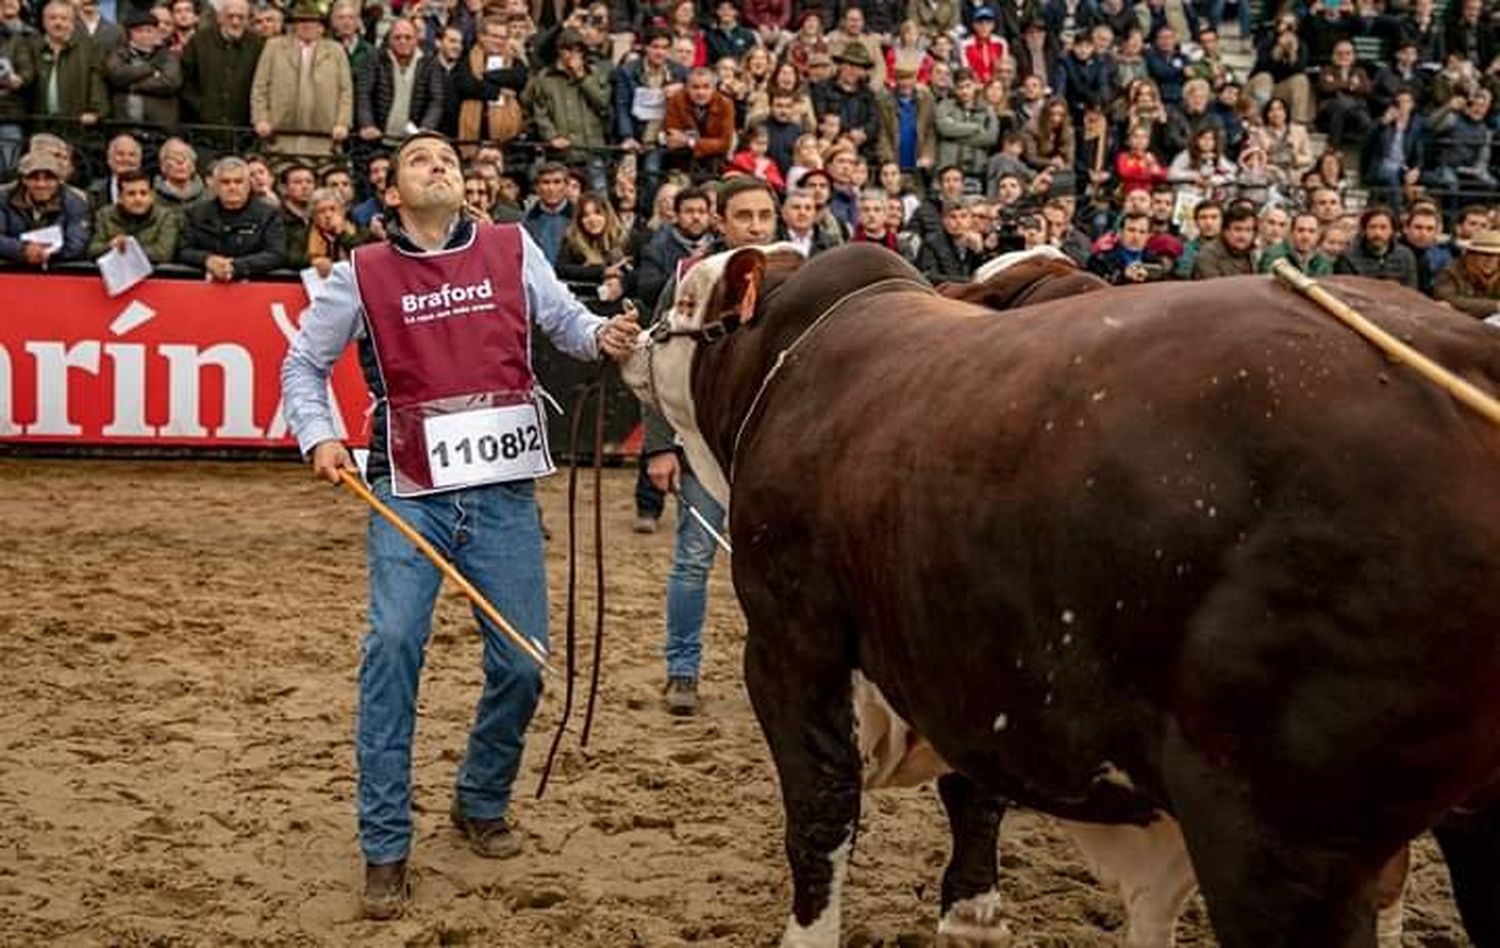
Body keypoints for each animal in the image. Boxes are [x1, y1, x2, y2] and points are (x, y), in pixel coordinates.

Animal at [618, 240, 1500, 942]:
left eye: (686, 302)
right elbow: (972, 796)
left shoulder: (793, 644)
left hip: (1282, 840)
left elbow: (821, 818)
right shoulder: (968, 662)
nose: (636, 328)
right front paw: (972, 917)